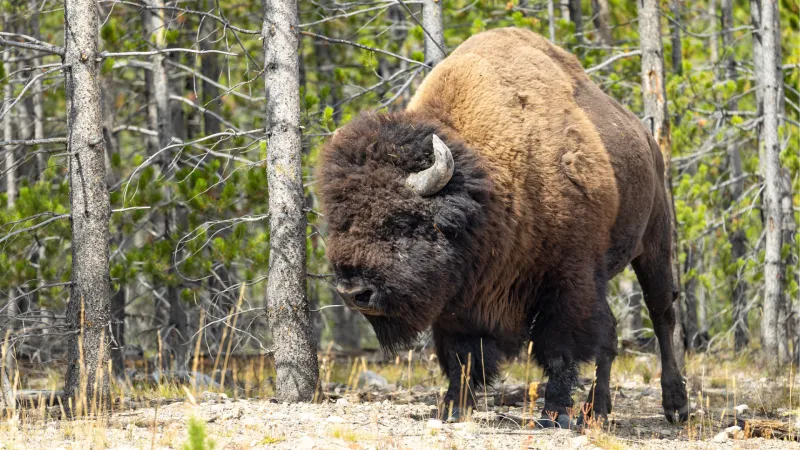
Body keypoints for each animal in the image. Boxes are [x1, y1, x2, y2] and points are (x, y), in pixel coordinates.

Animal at [317, 27, 688, 426]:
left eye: (402, 221)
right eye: (339, 222)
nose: (353, 292)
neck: (492, 190)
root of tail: (648, 140)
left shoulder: (568, 279)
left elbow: (559, 346)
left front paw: (554, 413)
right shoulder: (462, 297)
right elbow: (462, 355)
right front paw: (454, 406)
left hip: (654, 243)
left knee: (661, 313)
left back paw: (676, 405)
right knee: (611, 336)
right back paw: (598, 409)